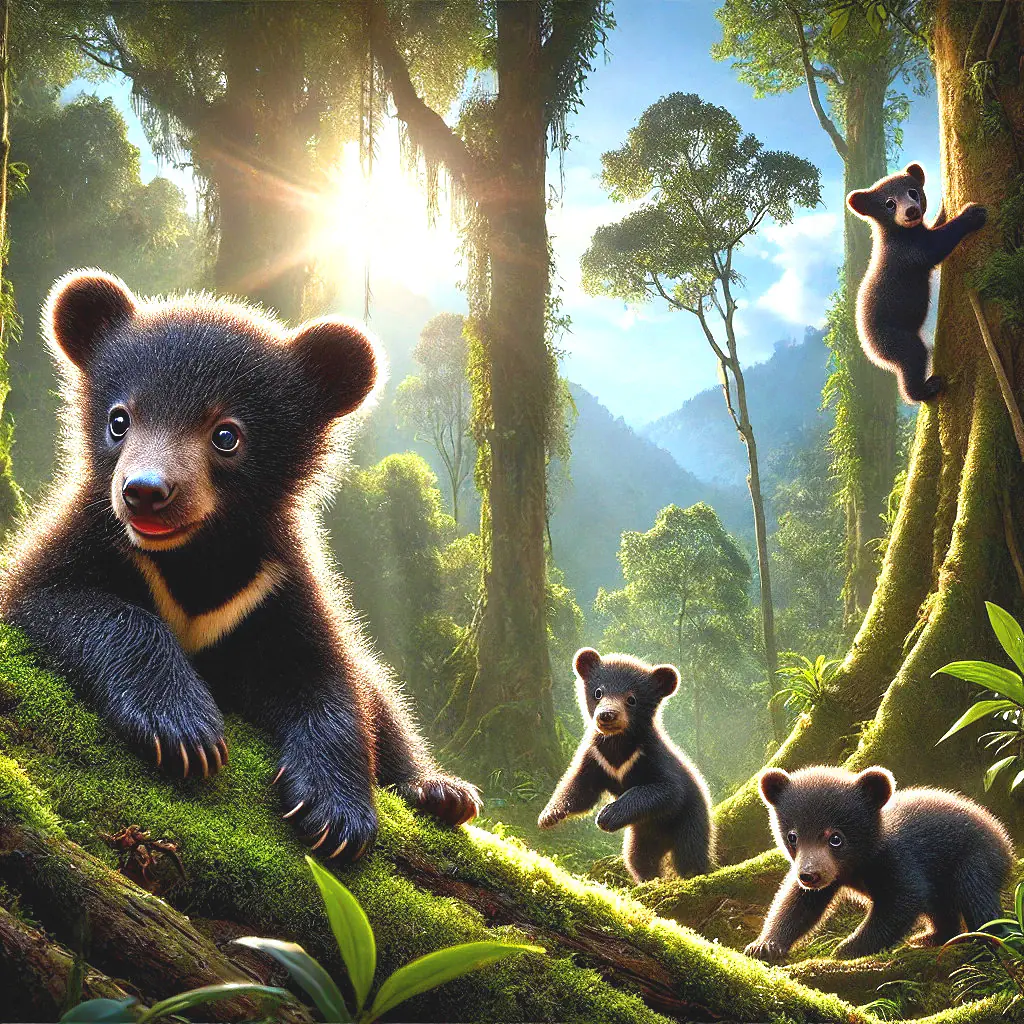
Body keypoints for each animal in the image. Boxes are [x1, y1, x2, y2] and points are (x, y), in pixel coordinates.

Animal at [0, 269, 481, 861]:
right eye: (119, 419)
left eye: (226, 435)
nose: (145, 492)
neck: (196, 557)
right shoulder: (84, 539)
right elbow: (60, 601)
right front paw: (185, 732)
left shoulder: (276, 583)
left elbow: (328, 676)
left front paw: (336, 815)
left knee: (383, 695)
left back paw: (442, 791)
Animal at [537, 648, 714, 881]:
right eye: (598, 692)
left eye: (631, 699)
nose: (607, 715)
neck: (617, 744)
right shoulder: (595, 757)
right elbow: (582, 789)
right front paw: (548, 816)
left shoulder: (650, 754)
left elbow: (666, 789)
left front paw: (607, 815)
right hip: (642, 834)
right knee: (638, 858)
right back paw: (649, 879)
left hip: (690, 817)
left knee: (690, 852)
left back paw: (694, 873)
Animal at [745, 765, 1014, 963]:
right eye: (793, 836)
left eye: (835, 838)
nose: (809, 875)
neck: (858, 863)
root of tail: (1003, 836)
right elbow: (798, 904)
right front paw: (763, 946)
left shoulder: (897, 859)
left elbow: (901, 900)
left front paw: (845, 948)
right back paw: (930, 937)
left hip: (973, 859)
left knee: (977, 897)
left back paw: (984, 937)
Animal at [846, 162, 987, 404]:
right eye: (889, 203)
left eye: (913, 192)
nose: (911, 211)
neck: (901, 232)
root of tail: (868, 348)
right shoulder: (907, 252)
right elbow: (935, 247)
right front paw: (973, 214)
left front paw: (943, 205)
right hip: (892, 337)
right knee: (912, 357)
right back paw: (926, 388)